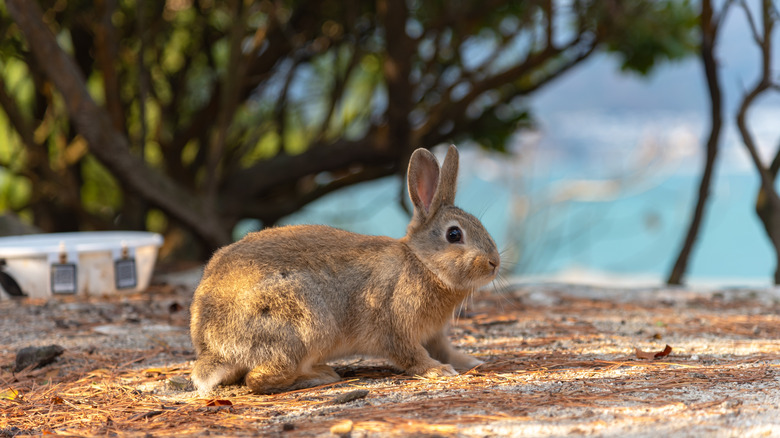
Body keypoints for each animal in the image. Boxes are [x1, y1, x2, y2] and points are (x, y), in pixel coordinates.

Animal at [189, 145, 500, 396]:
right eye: (454, 235)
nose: (494, 263)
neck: (423, 264)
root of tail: (211, 345)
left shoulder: (435, 334)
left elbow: (445, 349)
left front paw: (471, 362)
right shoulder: (396, 325)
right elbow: (411, 355)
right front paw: (438, 370)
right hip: (304, 321)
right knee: (257, 379)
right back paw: (319, 375)